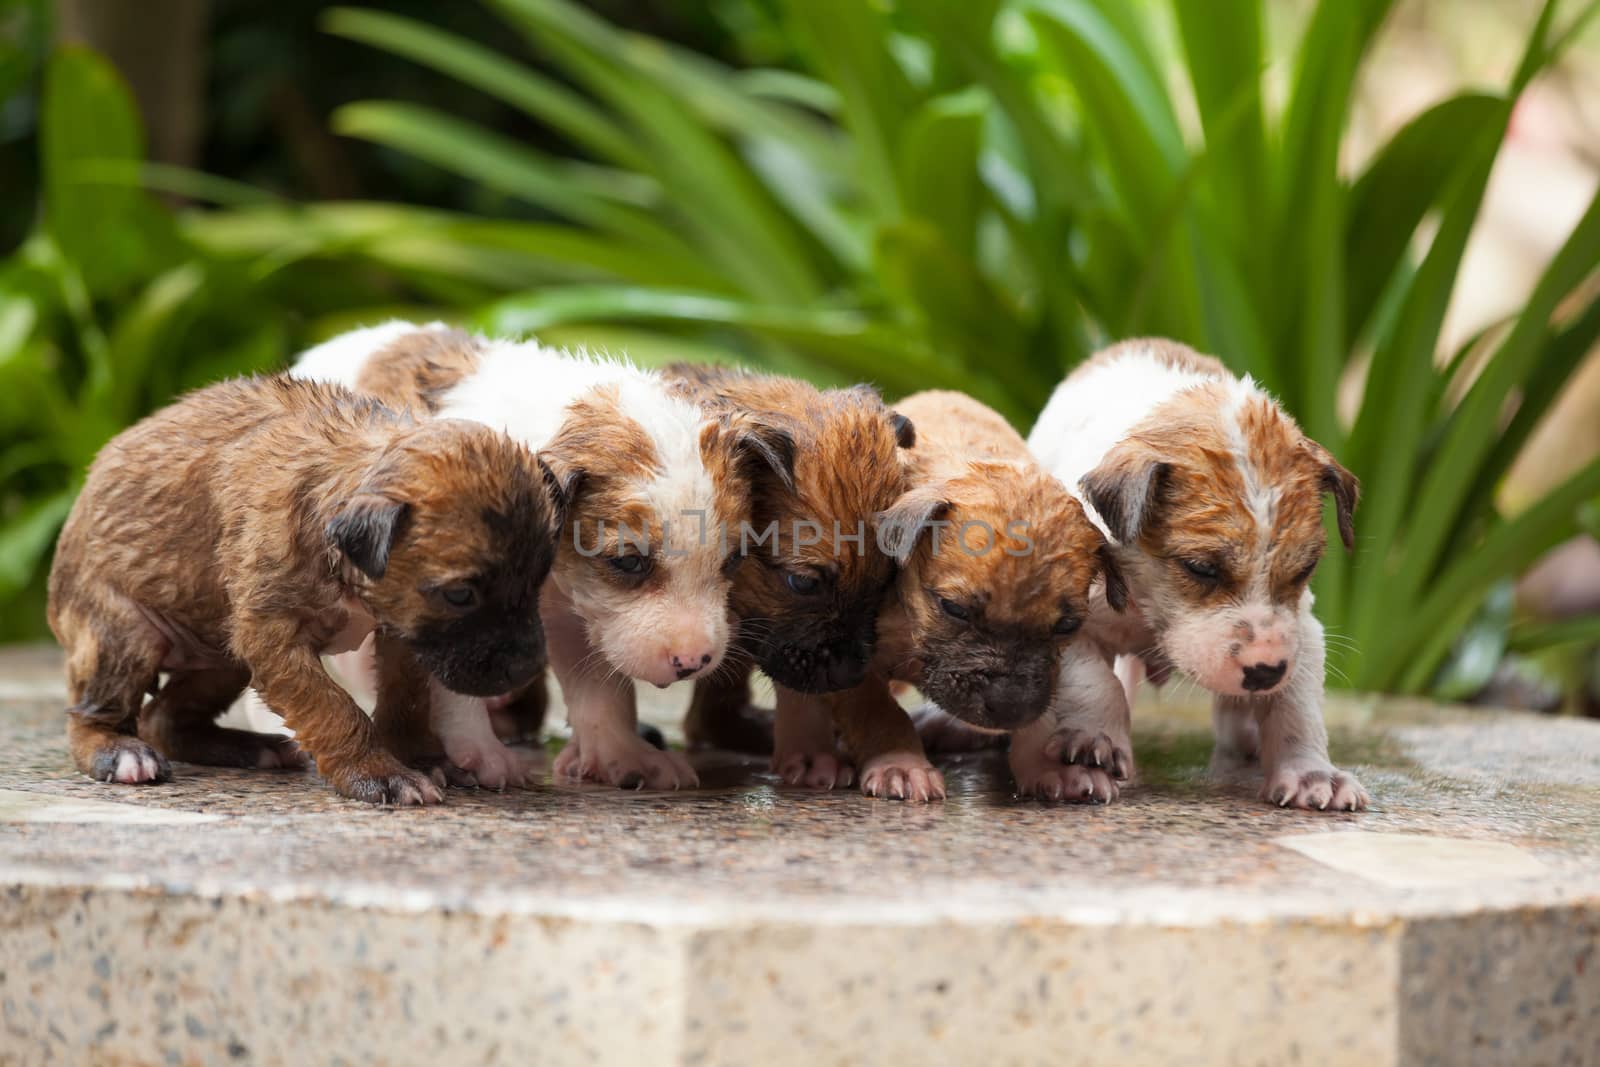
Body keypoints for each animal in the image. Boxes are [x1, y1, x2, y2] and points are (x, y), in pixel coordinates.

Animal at [45, 375, 556, 799]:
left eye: (539, 579)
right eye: (460, 595)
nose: (528, 667)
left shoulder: (402, 632)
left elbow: (407, 698)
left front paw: (421, 756)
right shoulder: (275, 639)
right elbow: (333, 708)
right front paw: (377, 773)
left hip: (223, 657)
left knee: (163, 718)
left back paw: (248, 748)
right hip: (124, 633)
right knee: (95, 714)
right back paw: (119, 751)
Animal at [292, 321, 787, 790]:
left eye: (733, 561)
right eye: (629, 563)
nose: (694, 661)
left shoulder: (575, 609)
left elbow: (602, 690)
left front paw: (624, 756)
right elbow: (454, 688)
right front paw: (480, 756)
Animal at [806, 390, 1120, 799]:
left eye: (1067, 626)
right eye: (954, 609)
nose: (1008, 707)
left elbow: (1042, 719)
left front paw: (1052, 769)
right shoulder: (848, 657)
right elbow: (875, 710)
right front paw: (900, 764)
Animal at [1017, 337, 1369, 812]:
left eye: (1306, 568)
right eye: (1200, 568)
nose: (1265, 672)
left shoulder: (1303, 633)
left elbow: (1297, 708)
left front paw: (1313, 775)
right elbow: (1094, 679)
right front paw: (1094, 739)